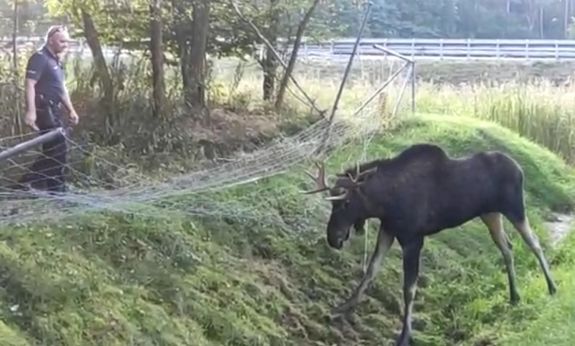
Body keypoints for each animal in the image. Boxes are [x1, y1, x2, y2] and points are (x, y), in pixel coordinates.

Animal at [304, 143, 560, 346]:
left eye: (346, 202)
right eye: (333, 204)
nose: (334, 238)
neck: (385, 202)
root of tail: (520, 168)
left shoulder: (413, 240)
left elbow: (409, 289)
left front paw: (405, 335)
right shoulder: (388, 230)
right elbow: (370, 270)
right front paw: (342, 307)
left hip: (515, 209)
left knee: (534, 243)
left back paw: (552, 287)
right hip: (490, 214)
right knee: (507, 248)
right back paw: (515, 296)